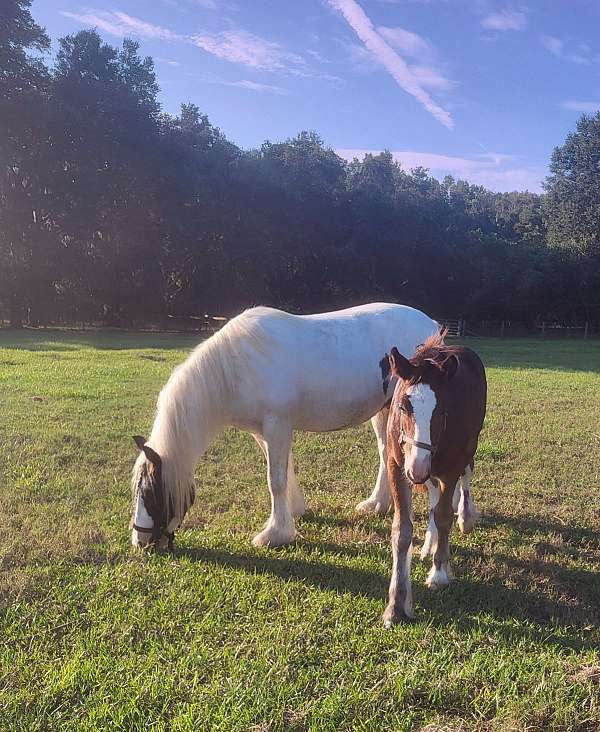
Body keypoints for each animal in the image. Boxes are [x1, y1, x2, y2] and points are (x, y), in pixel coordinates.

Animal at [131, 300, 438, 548]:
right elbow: (283, 471)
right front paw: (293, 511)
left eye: (148, 492)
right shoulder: (264, 431)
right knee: (386, 453)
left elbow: (275, 480)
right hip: (385, 412)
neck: (236, 367)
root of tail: (431, 325)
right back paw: (377, 504)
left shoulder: (277, 424)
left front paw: (275, 533)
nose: (139, 540)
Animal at [384, 334, 488, 628]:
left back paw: (465, 516)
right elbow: (401, 530)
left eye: (441, 411)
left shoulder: (450, 468)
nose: (417, 468)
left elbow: (443, 516)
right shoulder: (397, 466)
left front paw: (439, 572)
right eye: (403, 406)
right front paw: (396, 604)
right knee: (432, 494)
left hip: (468, 448)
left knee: (466, 476)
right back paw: (428, 543)